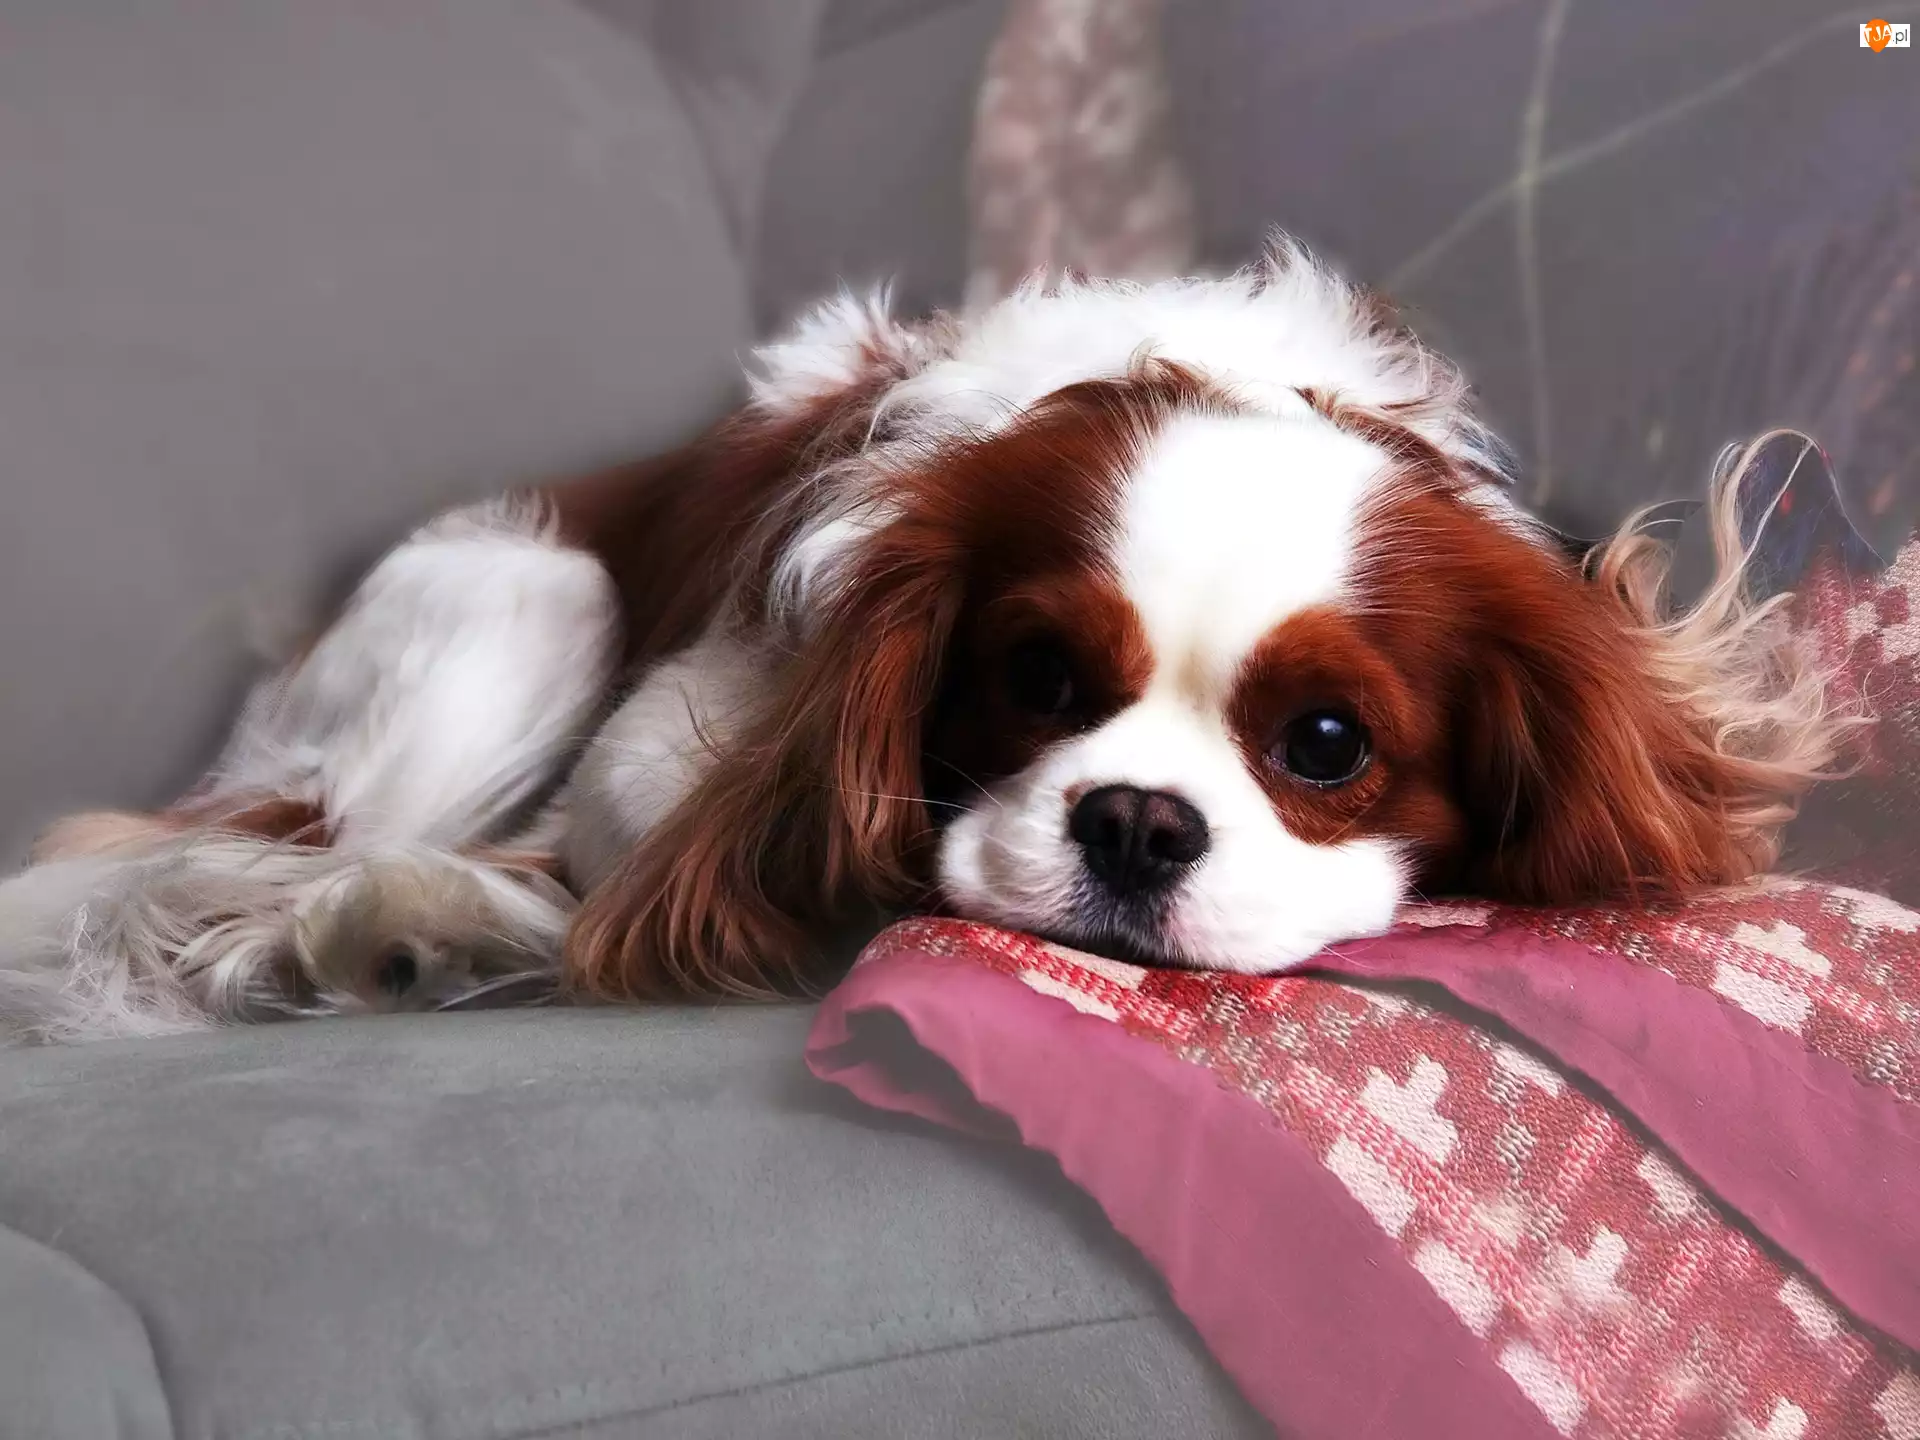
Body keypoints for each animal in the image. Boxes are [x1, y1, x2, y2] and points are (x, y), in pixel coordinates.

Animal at [0, 239, 1846, 1042]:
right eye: (1035, 679)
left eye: (1329, 746)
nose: (1136, 823)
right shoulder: (675, 731)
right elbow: (649, 849)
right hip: (529, 603)